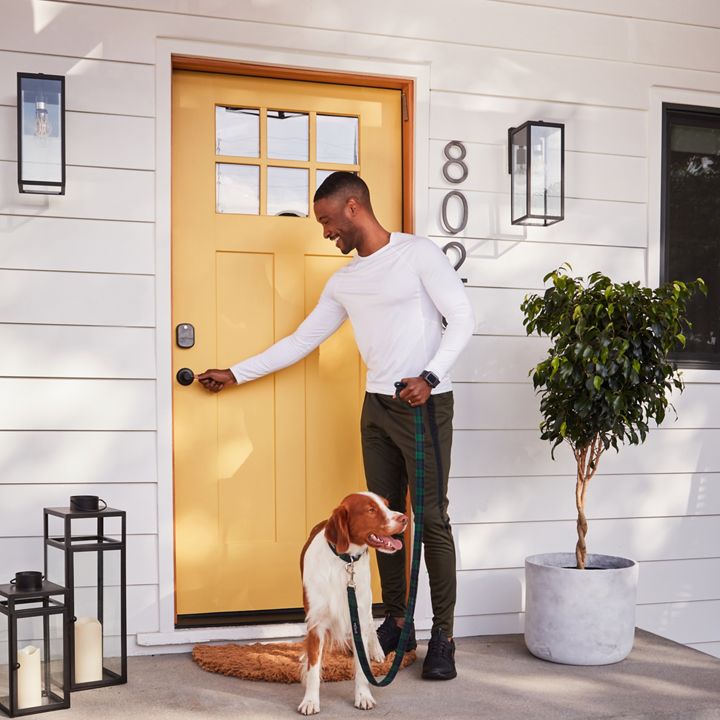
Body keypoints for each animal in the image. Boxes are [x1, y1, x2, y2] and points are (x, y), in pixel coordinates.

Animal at [298, 492, 408, 715]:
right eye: (371, 510)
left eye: (386, 505)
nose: (405, 519)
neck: (344, 562)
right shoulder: (316, 621)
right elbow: (313, 668)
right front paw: (310, 701)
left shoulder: (359, 615)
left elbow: (362, 669)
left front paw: (363, 696)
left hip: (366, 604)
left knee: (371, 625)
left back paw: (377, 651)